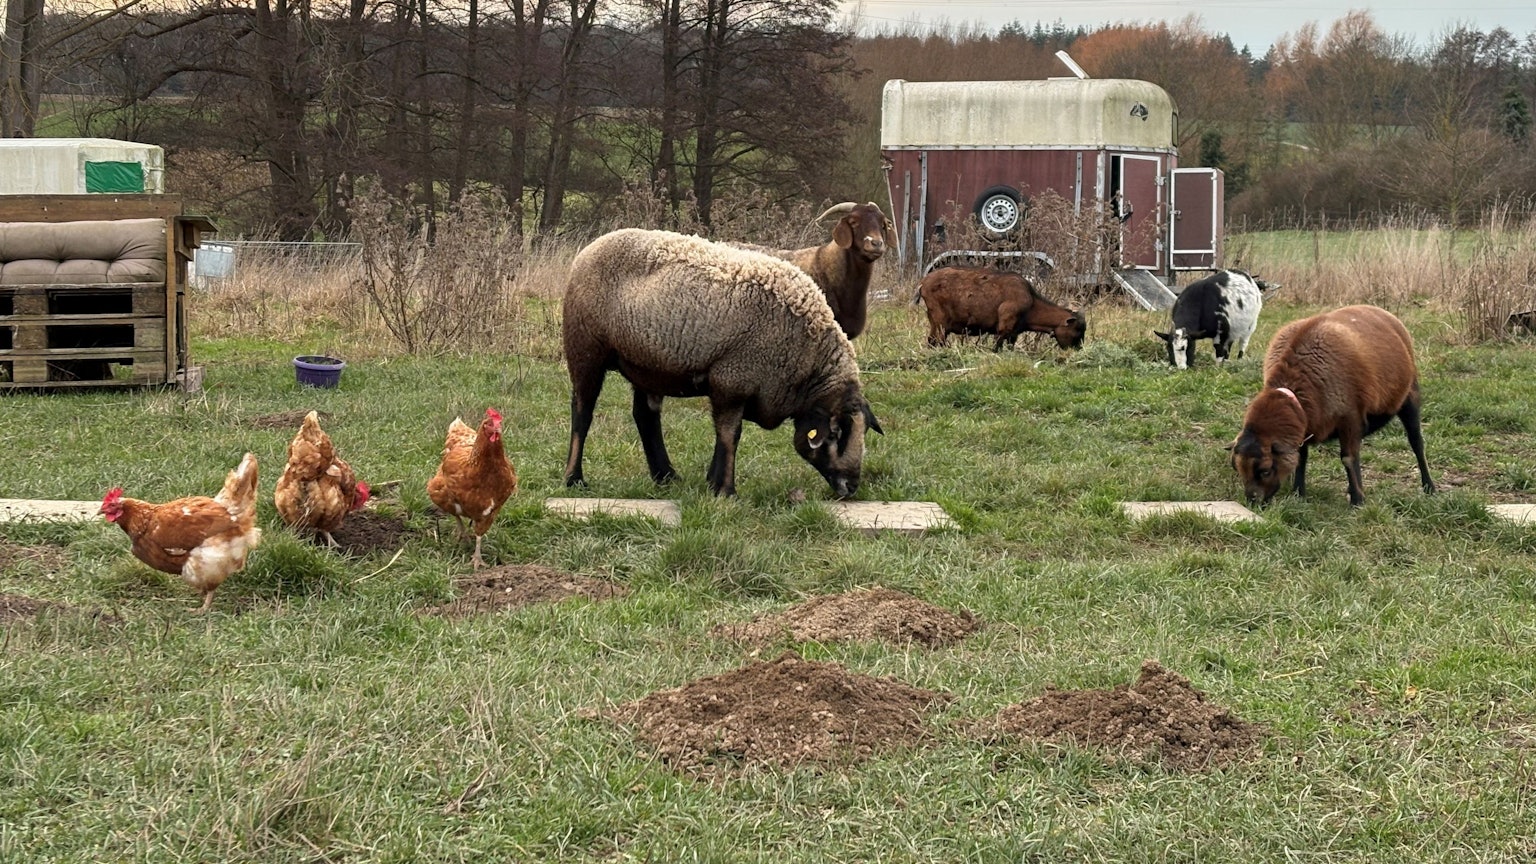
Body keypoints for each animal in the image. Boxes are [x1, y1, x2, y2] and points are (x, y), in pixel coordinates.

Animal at [561, 228, 883, 499]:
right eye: (836, 434)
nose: (851, 486)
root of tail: (591, 247)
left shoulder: (732, 388)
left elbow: (723, 435)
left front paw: (712, 483)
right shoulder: (732, 379)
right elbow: (730, 435)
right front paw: (726, 491)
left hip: (648, 364)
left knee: (645, 416)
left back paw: (666, 476)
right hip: (585, 349)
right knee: (582, 411)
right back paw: (574, 478)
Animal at [916, 265, 1085, 350]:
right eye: (1077, 330)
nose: (1078, 349)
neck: (1031, 302)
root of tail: (923, 283)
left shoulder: (1013, 334)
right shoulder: (1004, 326)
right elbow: (996, 347)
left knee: (932, 341)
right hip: (940, 322)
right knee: (936, 341)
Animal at [1229, 304, 1434, 507]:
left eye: (1265, 470)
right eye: (1237, 468)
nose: (1253, 502)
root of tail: (1380, 310)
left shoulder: (1351, 418)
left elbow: (1348, 458)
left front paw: (1358, 501)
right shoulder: (1306, 426)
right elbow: (1302, 458)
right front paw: (1298, 494)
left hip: (1409, 396)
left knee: (1416, 442)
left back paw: (1429, 487)